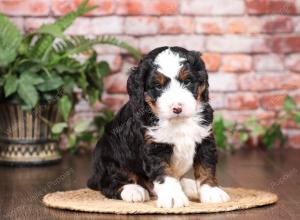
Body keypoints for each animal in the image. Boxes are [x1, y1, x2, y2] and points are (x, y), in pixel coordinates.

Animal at [86, 46, 230, 208]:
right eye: (158, 86)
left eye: (187, 81)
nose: (177, 108)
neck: (178, 122)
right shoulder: (154, 147)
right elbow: (164, 173)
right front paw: (173, 197)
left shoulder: (205, 139)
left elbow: (206, 167)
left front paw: (212, 191)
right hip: (109, 158)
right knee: (109, 183)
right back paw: (133, 190)